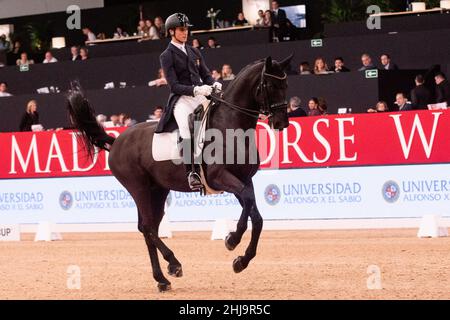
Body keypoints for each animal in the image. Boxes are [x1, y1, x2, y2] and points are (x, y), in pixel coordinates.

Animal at [66, 55, 292, 292]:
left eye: (285, 85)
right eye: (270, 85)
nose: (281, 123)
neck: (232, 127)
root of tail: (118, 139)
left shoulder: (244, 180)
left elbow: (256, 216)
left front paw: (241, 259)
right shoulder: (221, 178)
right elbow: (249, 206)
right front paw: (232, 240)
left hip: (157, 191)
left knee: (149, 228)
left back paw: (162, 279)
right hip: (138, 188)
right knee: (147, 227)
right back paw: (173, 264)